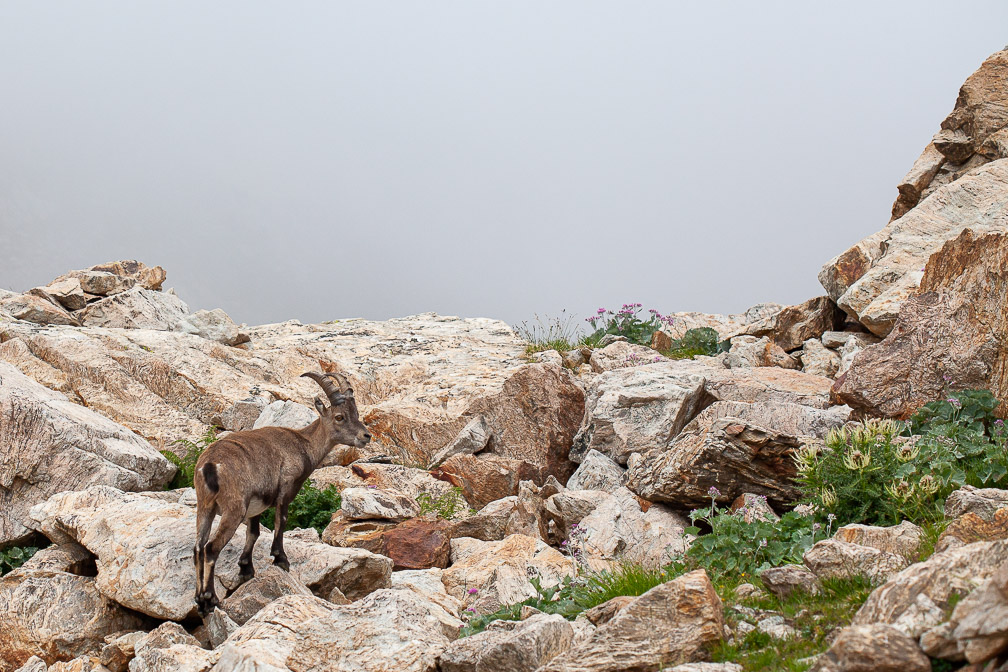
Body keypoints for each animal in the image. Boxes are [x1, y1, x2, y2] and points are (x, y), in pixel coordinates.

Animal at [189, 370, 370, 616]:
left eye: (356, 414)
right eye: (340, 417)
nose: (366, 436)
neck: (304, 444)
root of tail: (209, 466)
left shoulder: (256, 505)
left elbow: (254, 533)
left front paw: (246, 569)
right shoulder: (287, 487)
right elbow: (280, 521)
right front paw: (281, 559)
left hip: (205, 506)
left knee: (198, 547)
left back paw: (199, 599)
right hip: (233, 508)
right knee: (210, 548)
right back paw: (210, 599)